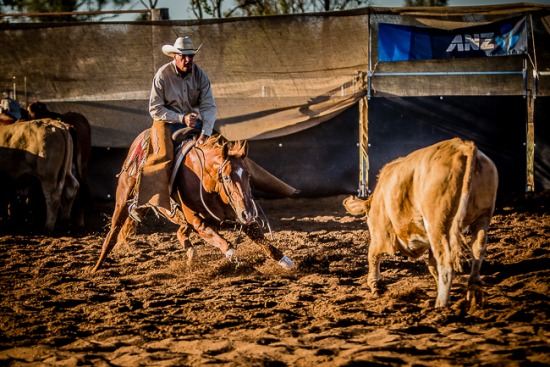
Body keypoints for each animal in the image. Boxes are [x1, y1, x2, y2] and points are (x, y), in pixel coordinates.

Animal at [92, 130, 296, 274]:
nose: (248, 212)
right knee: (113, 233)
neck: (207, 183)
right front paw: (237, 260)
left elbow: (264, 242)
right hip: (123, 197)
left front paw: (287, 262)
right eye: (227, 177)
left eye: (248, 175)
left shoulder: (241, 216)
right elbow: (225, 244)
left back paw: (191, 255)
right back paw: (95, 268)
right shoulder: (198, 222)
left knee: (181, 233)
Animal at [348, 139, 502, 310]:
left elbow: (373, 255)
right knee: (477, 252)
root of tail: (463, 147)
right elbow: (432, 265)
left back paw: (441, 305)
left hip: (438, 225)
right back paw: (474, 294)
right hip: (482, 218)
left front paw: (375, 285)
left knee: (446, 265)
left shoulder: (381, 232)